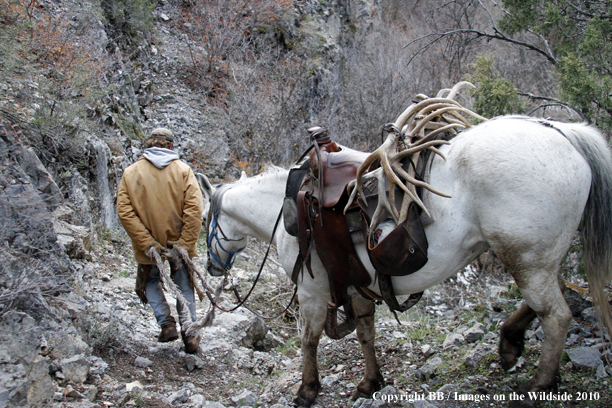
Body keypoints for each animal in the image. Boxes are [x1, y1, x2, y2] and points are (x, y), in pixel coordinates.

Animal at [200, 116, 612, 406]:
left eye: (204, 219)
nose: (211, 268)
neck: (286, 208)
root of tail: (562, 133)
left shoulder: (312, 290)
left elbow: (309, 339)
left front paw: (307, 390)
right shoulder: (357, 285)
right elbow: (365, 333)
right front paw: (369, 383)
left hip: (526, 258)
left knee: (556, 316)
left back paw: (537, 385)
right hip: (538, 258)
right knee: (551, 299)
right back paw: (511, 345)